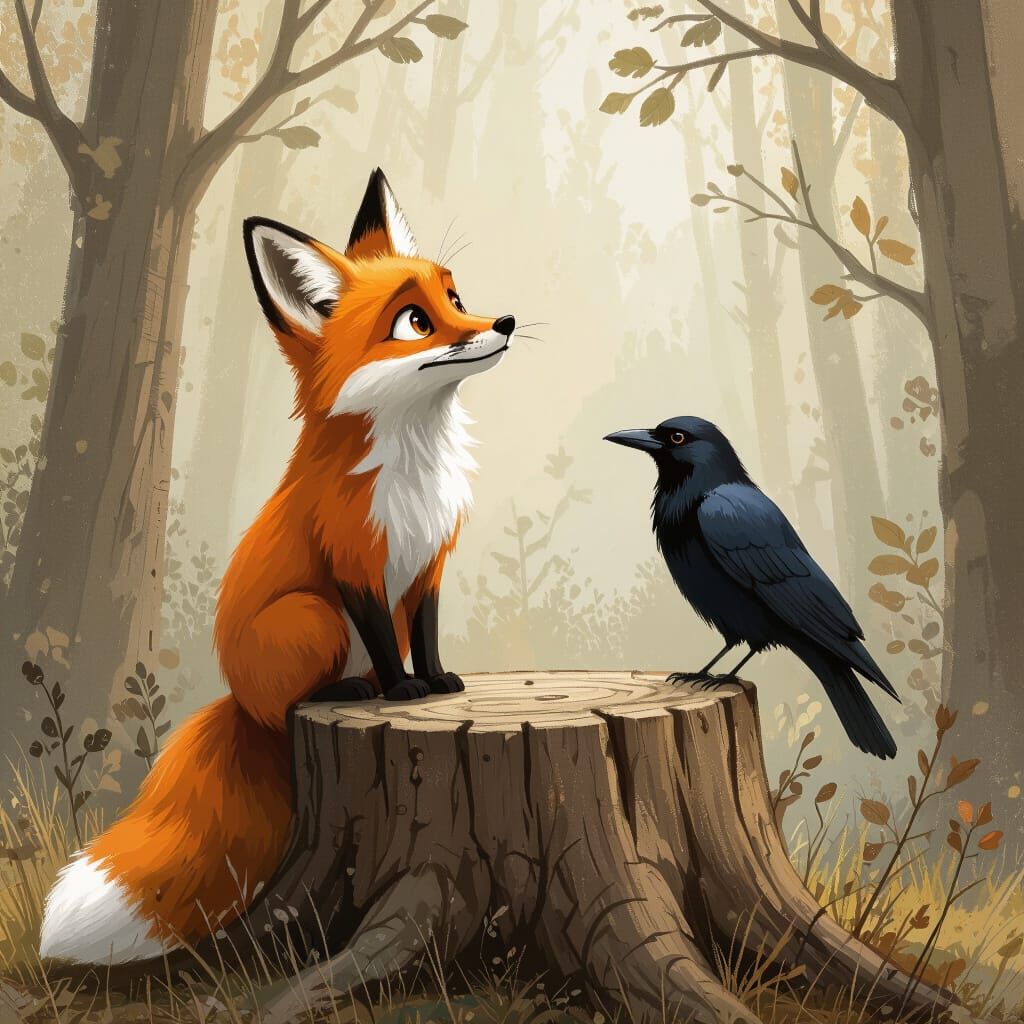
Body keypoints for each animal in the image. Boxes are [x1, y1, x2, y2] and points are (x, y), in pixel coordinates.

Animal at [38, 169, 515, 963]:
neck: (415, 466)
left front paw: (438, 680)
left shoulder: (427, 566)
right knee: (299, 696)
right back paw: (352, 689)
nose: (504, 321)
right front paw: (403, 691)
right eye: (415, 321)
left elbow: (426, 633)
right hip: (312, 617)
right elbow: (384, 636)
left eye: (456, 295)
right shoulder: (354, 563)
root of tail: (237, 700)